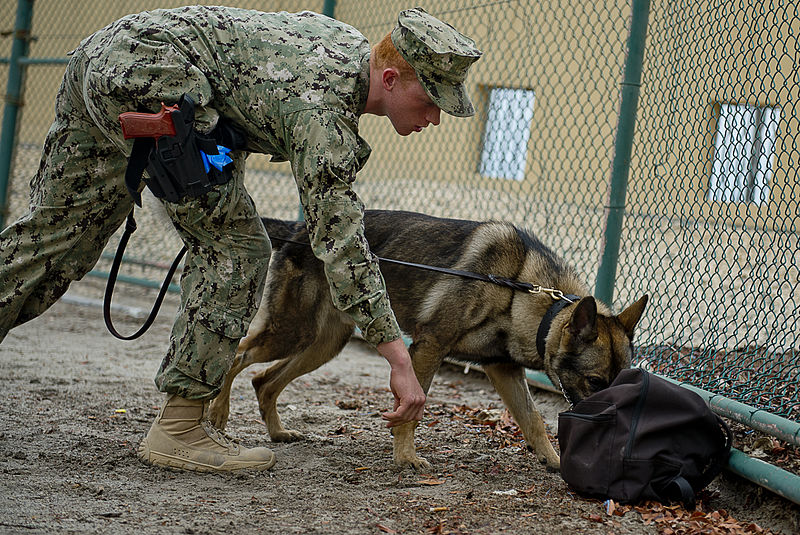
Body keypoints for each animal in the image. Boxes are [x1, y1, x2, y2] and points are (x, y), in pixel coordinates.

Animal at [209, 211, 648, 472]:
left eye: (621, 379)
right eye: (595, 382)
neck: (520, 289)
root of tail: (299, 228)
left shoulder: (503, 369)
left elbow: (533, 419)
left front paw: (554, 459)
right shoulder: (429, 349)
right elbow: (413, 410)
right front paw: (405, 458)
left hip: (322, 345)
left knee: (263, 380)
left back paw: (277, 433)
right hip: (291, 332)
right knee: (237, 353)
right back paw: (216, 414)